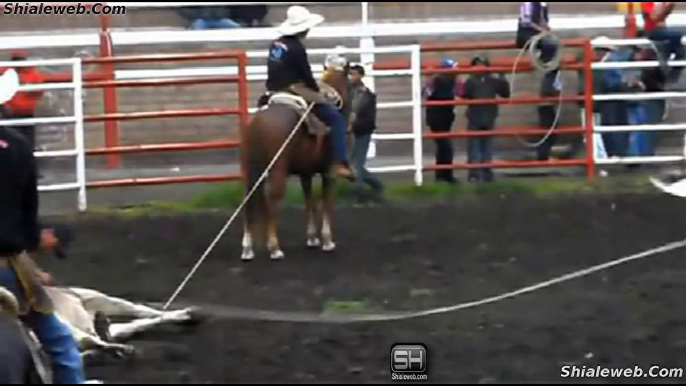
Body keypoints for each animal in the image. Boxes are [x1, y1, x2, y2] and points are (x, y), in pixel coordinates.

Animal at [241, 61, 350, 260]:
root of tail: (258, 123)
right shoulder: (329, 173)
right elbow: (326, 202)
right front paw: (327, 240)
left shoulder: (305, 173)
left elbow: (309, 201)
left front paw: (312, 238)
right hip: (276, 169)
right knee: (271, 199)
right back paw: (274, 247)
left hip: (252, 169)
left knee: (249, 199)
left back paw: (247, 248)